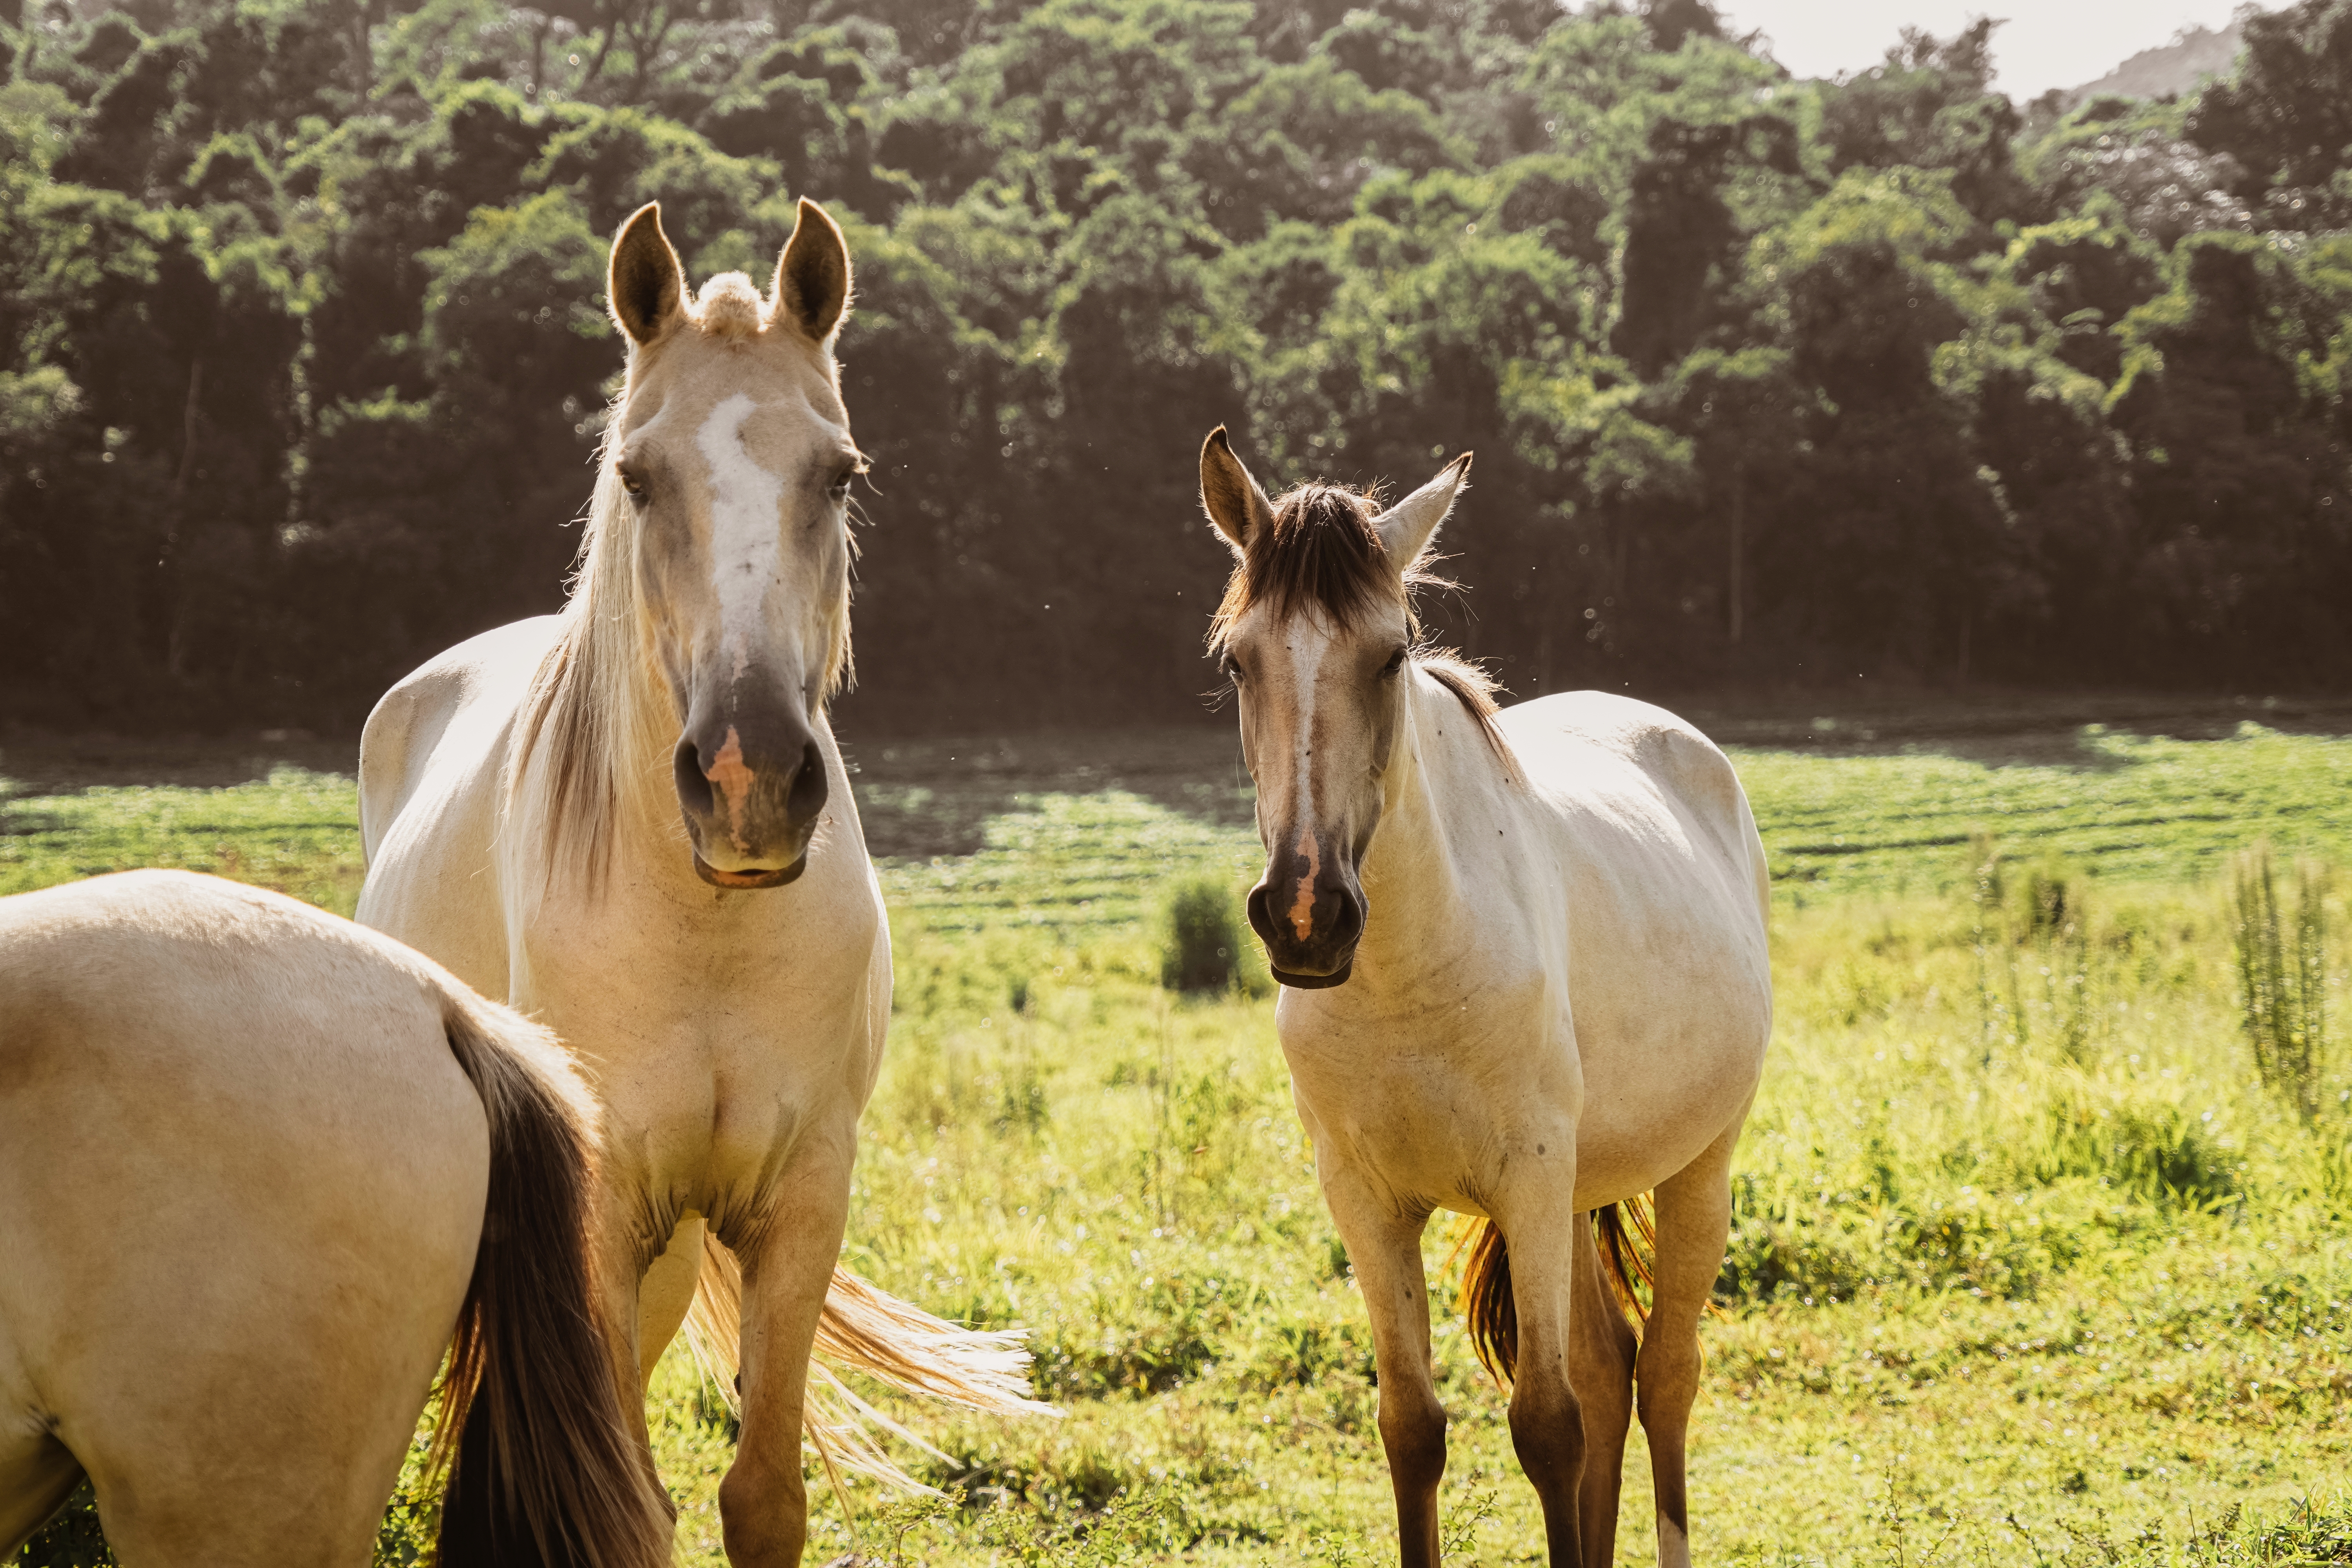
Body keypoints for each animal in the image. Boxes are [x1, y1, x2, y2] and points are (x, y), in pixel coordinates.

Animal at [353, 202, 1044, 1561]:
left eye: (841, 474)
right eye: (637, 477)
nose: (746, 777)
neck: (708, 926)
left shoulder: (800, 1202)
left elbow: (760, 1496)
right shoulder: (604, 1210)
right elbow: (628, 1499)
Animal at [1195, 432, 1769, 1568]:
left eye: (1390, 655)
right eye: (1239, 660)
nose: (1306, 914)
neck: (1408, 983)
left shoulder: (1529, 1177)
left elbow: (1547, 1426)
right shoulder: (1365, 1200)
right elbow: (1412, 1427)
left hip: (1697, 1168)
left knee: (1665, 1378)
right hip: (1586, 1187)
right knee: (1611, 1366)